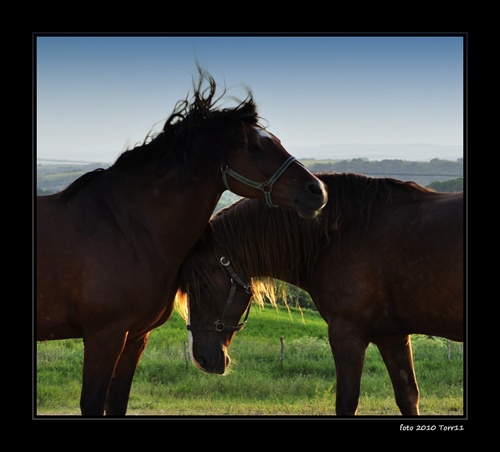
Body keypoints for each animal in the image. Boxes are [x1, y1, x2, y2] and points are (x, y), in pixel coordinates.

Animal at [38, 68, 328, 416]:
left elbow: (117, 401)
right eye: (255, 147)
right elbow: (94, 402)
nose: (317, 191)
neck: (125, 229)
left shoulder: (135, 338)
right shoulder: (103, 337)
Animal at [177, 172, 464, 416]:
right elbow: (408, 397)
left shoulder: (347, 335)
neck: (341, 234)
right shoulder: (392, 337)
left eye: (202, 286)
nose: (201, 359)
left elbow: (347, 402)